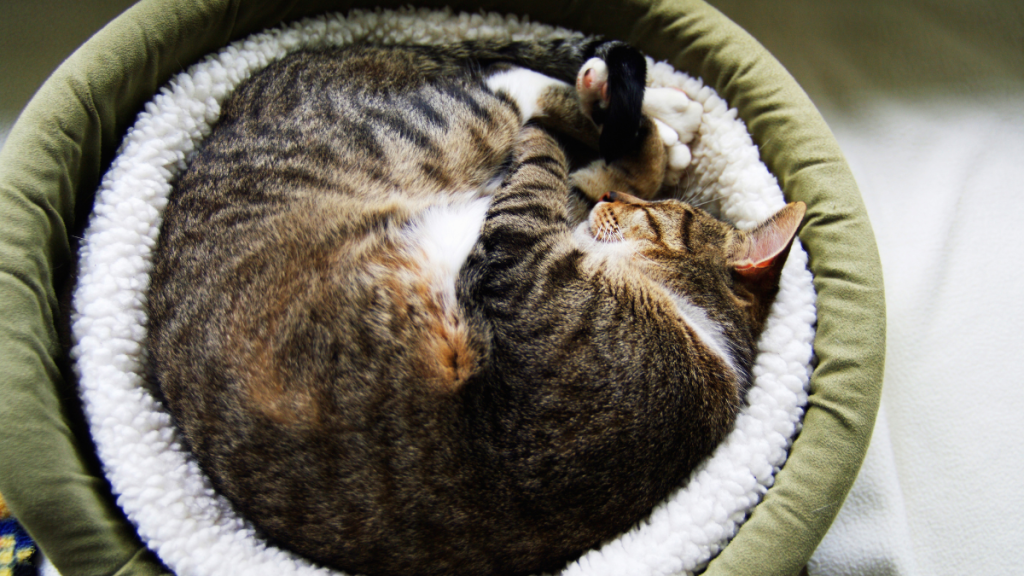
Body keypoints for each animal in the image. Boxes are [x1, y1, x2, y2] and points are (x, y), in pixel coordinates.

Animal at [144, 36, 802, 573]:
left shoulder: (522, 258)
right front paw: (642, 146)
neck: (697, 328)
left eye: (660, 214)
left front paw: (624, 145)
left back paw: (621, 99)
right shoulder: (557, 225)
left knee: (508, 90)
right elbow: (599, 169)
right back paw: (657, 109)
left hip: (439, 135)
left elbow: (553, 164)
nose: (614, 202)